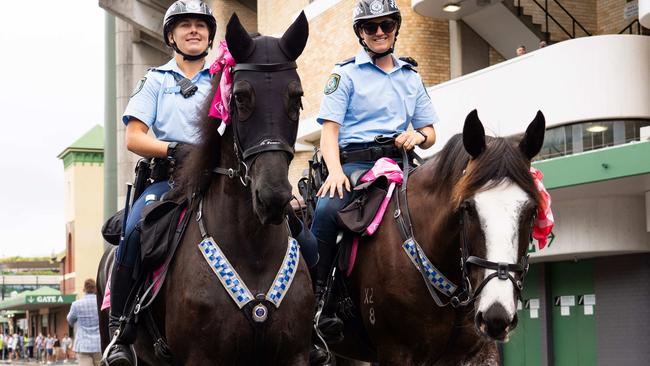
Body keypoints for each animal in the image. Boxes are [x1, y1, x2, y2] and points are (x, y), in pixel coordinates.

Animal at [95, 12, 314, 364]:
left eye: (297, 96)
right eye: (240, 96)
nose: (273, 198)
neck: (253, 250)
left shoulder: (295, 354)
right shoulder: (201, 356)